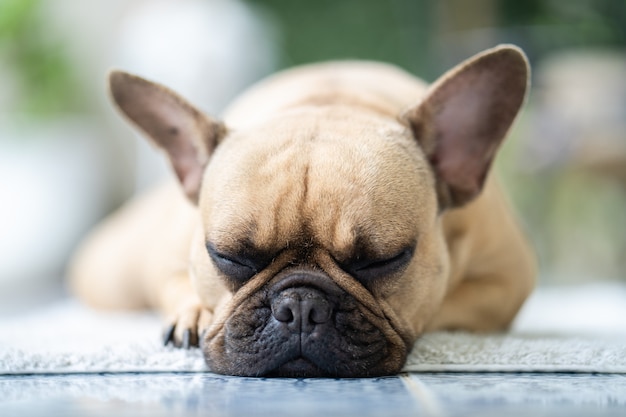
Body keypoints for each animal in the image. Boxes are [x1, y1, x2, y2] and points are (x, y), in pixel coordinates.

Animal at [70, 44, 532, 376]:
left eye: (382, 260)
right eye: (229, 256)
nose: (301, 307)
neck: (332, 99)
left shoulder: (507, 283)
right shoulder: (169, 258)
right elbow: (177, 282)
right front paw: (194, 315)